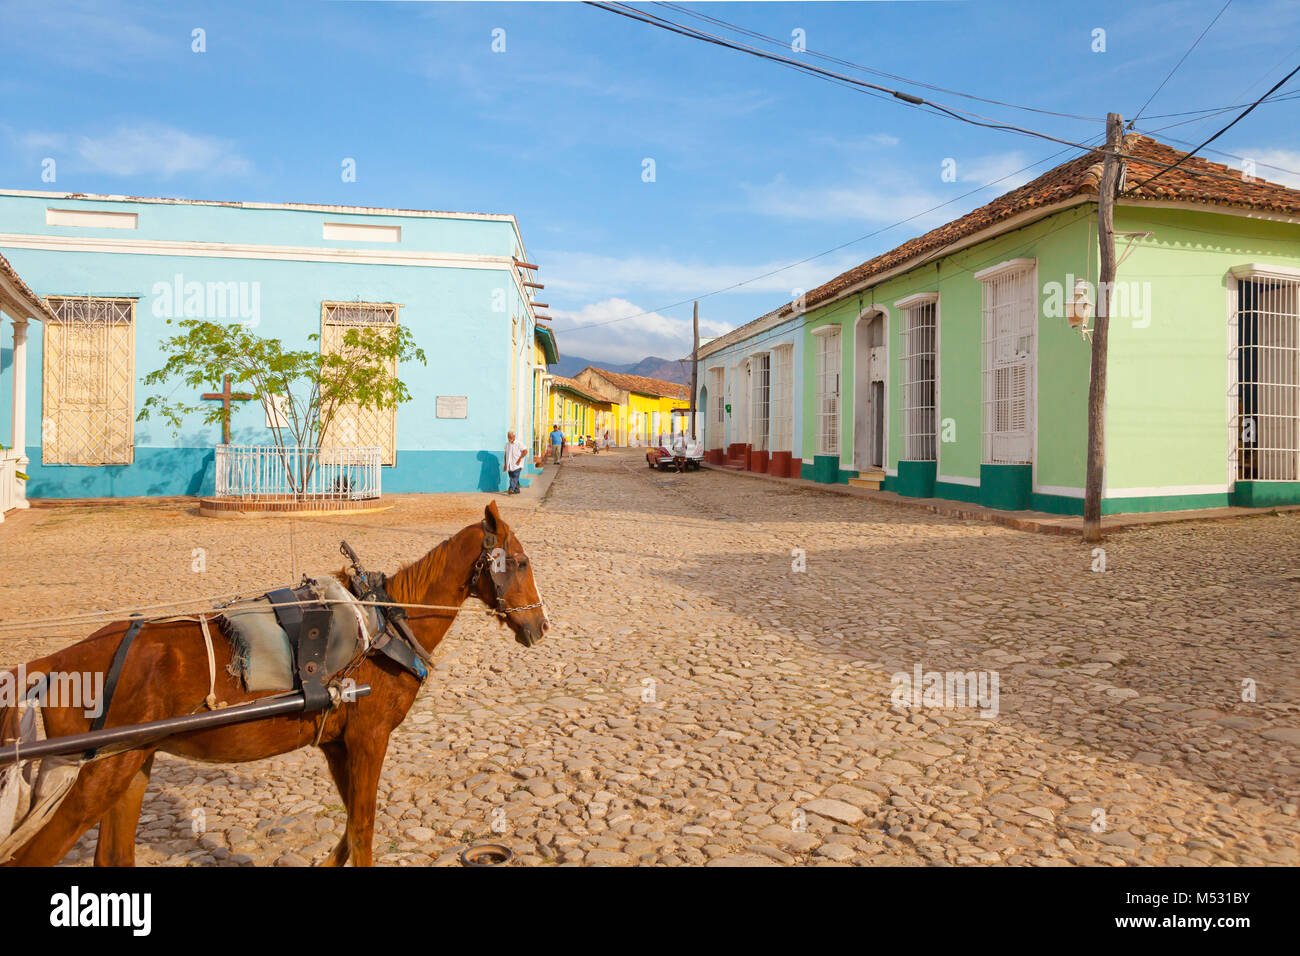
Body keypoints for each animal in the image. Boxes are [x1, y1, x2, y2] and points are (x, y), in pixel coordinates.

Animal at [1, 501, 547, 867]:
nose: (539, 626)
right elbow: (364, 826)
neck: (383, 623)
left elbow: (350, 826)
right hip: (94, 779)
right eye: (519, 562)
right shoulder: (368, 737)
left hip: (128, 764)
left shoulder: (336, 742)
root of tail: (53, 663)